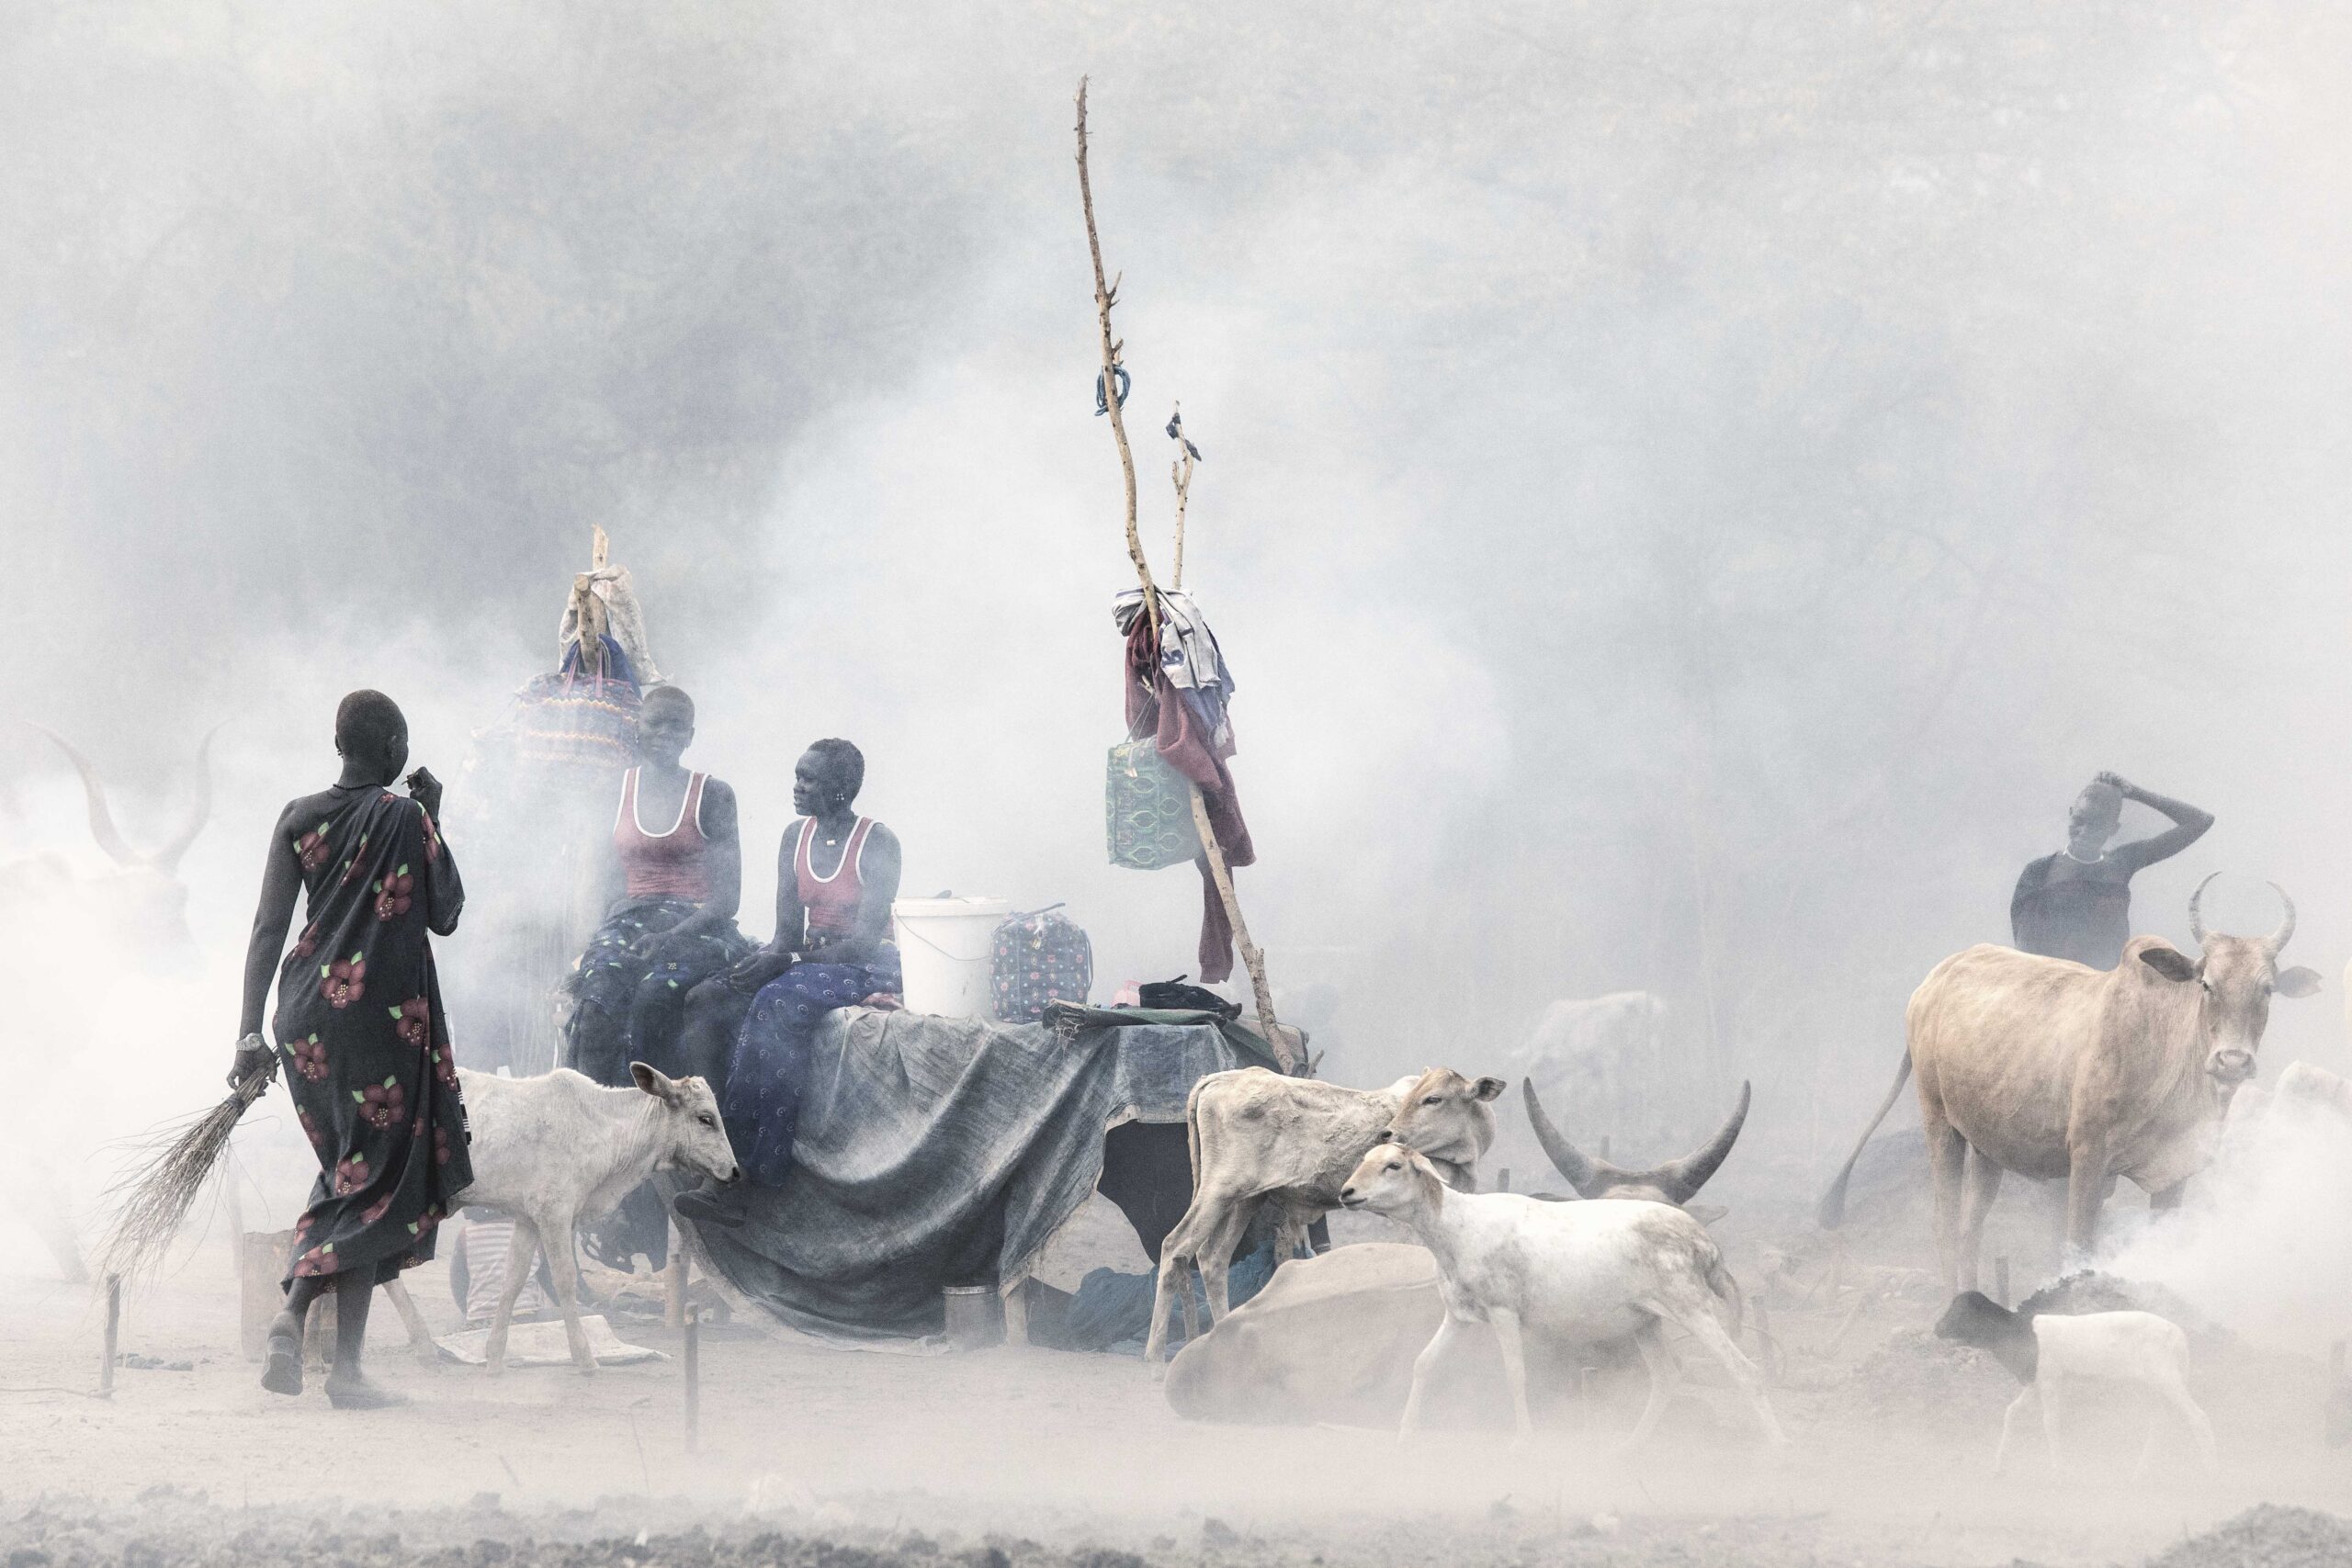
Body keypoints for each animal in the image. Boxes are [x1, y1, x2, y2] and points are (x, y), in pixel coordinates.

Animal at [444, 1066, 729, 1372]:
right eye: (705, 1118)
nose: (734, 1170)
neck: (599, 1126)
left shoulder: (528, 1220)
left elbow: (513, 1282)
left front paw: (495, 1358)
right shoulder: (554, 1214)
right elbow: (565, 1279)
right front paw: (585, 1358)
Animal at [1143, 1062, 1505, 1363]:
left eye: (1433, 1099)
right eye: (1414, 1097)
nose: (1387, 1134)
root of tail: (1220, 1077)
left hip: (1245, 1198)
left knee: (1212, 1258)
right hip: (1218, 1190)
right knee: (1176, 1246)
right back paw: (1155, 1357)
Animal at [1345, 1142, 1778, 1448]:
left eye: (1394, 1165)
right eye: (1365, 1158)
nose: (1347, 1193)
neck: (1456, 1226)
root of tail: (1707, 1244)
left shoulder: (1503, 1311)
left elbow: (1515, 1373)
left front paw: (1523, 1442)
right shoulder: (1458, 1315)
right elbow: (1423, 1363)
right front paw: (1405, 1435)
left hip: (1692, 1307)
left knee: (1746, 1370)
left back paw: (1781, 1448)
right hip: (1646, 1320)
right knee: (1667, 1376)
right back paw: (1628, 1447)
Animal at [1815, 879, 2314, 1297]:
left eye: (2267, 989)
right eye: (2207, 985)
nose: (2232, 1061)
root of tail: (1933, 981)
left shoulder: (2176, 1174)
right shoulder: (2088, 1159)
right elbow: (2078, 1246)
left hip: (1987, 1146)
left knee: (1970, 1228)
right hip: (1939, 1122)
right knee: (1945, 1222)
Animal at [1938, 1288, 2211, 1476]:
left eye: (1959, 1310)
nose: (1936, 1328)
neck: (2021, 1333)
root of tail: (2179, 1336)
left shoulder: (2050, 1381)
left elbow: (2050, 1422)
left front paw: (2058, 1470)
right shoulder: (2035, 1384)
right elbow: (2012, 1413)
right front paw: (1999, 1466)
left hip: (2167, 1378)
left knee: (2197, 1416)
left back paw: (2212, 1471)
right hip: (2150, 1387)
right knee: (2159, 1422)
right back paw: (2140, 1471)